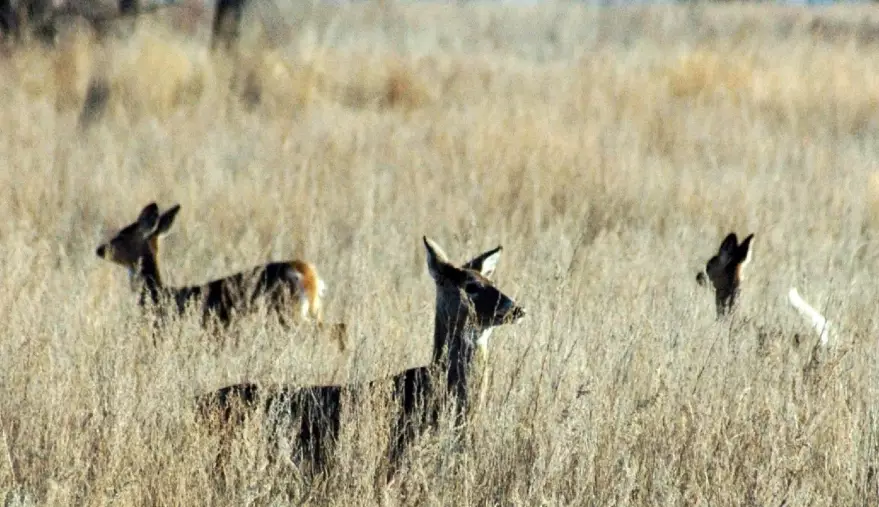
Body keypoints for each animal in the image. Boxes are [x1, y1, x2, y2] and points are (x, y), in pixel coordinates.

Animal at [95, 202, 346, 351]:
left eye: (122, 235)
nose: (100, 249)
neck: (162, 296)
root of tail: (309, 273)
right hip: (310, 311)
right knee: (339, 326)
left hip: (287, 313)